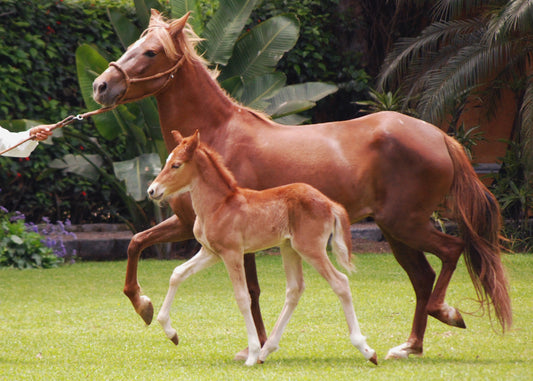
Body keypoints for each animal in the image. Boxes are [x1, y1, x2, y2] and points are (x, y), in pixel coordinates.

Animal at [148, 130, 376, 366]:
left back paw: (366, 350)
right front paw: (170, 331)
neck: (219, 205)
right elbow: (177, 273)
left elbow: (242, 298)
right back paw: (267, 351)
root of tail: (330, 204)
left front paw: (252, 353)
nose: (152, 190)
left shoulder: (232, 253)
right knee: (295, 289)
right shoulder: (210, 253)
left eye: (176, 165)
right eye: (166, 162)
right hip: (289, 248)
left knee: (340, 282)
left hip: (311, 249)